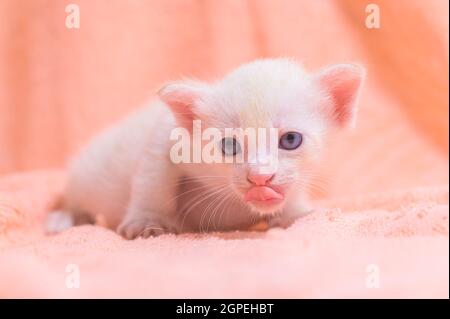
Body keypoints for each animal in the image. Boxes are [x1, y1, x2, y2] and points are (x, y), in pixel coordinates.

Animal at [45, 59, 364, 240]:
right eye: (229, 145)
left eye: (290, 140)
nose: (260, 177)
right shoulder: (167, 137)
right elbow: (153, 180)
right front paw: (148, 221)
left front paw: (295, 214)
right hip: (85, 173)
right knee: (73, 197)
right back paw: (64, 219)